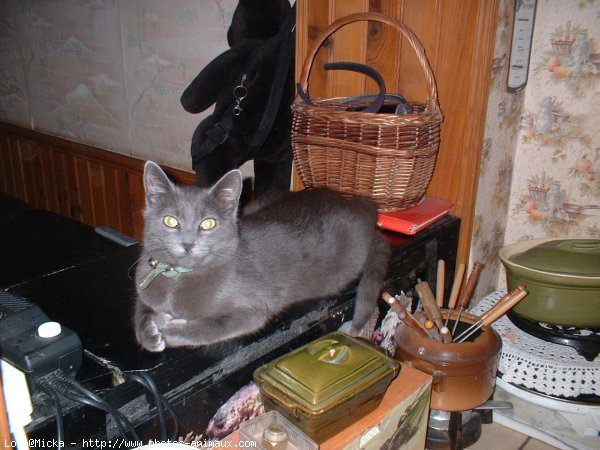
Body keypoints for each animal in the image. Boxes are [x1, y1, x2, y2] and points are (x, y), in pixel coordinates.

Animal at [134, 161, 392, 352]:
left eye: (208, 224)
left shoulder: (252, 309)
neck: (176, 277)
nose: (187, 244)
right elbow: (140, 309)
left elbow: (211, 326)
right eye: (170, 221)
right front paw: (149, 334)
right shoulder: (145, 285)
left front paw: (166, 328)